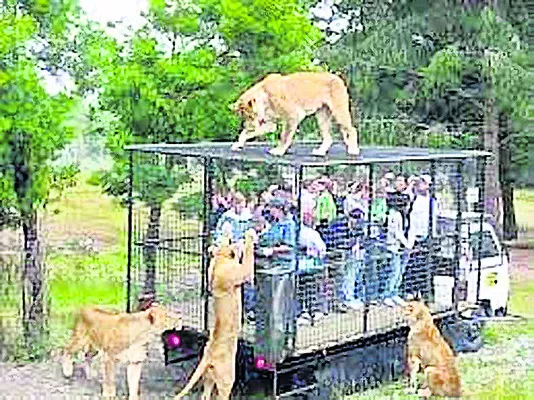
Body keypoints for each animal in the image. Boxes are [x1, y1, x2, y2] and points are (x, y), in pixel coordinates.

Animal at [176, 228, 258, 400]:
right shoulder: (244, 272)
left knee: (205, 396)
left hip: (209, 378)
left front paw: (227, 230)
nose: (237, 239)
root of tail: (207, 356)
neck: (221, 258)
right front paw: (249, 236)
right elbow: (248, 256)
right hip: (227, 380)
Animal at [230, 72, 360, 158]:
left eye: (251, 116)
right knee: (328, 138)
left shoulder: (293, 115)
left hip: (339, 112)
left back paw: (353, 150)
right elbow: (245, 133)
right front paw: (238, 144)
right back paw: (320, 152)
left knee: (352, 129)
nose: (248, 125)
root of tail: (338, 77)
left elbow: (285, 136)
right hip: (322, 116)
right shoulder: (270, 124)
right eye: (244, 117)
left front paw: (279, 151)